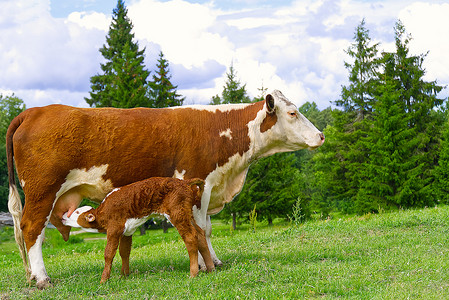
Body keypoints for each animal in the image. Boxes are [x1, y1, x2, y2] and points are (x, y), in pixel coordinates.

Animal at [61, 177, 215, 282]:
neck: (103, 213)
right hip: (189, 214)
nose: (63, 215)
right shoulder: (126, 231)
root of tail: (184, 182)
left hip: (178, 214)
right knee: (200, 234)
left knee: (190, 237)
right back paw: (211, 269)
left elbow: (109, 253)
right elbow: (124, 252)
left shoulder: (114, 229)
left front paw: (104, 279)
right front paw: (124, 275)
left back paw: (193, 273)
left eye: (76, 212)